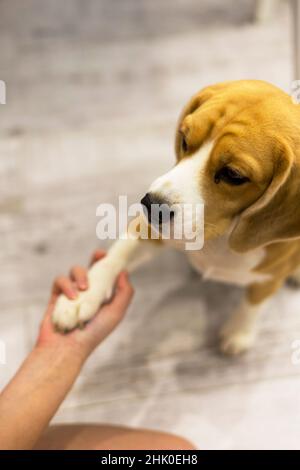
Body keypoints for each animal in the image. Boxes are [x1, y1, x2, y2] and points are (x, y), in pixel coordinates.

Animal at [52, 79, 300, 354]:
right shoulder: (149, 232)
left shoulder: (270, 278)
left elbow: (253, 301)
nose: (151, 205)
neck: (220, 236)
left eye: (233, 175)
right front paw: (83, 294)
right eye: (184, 138)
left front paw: (239, 332)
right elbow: (115, 257)